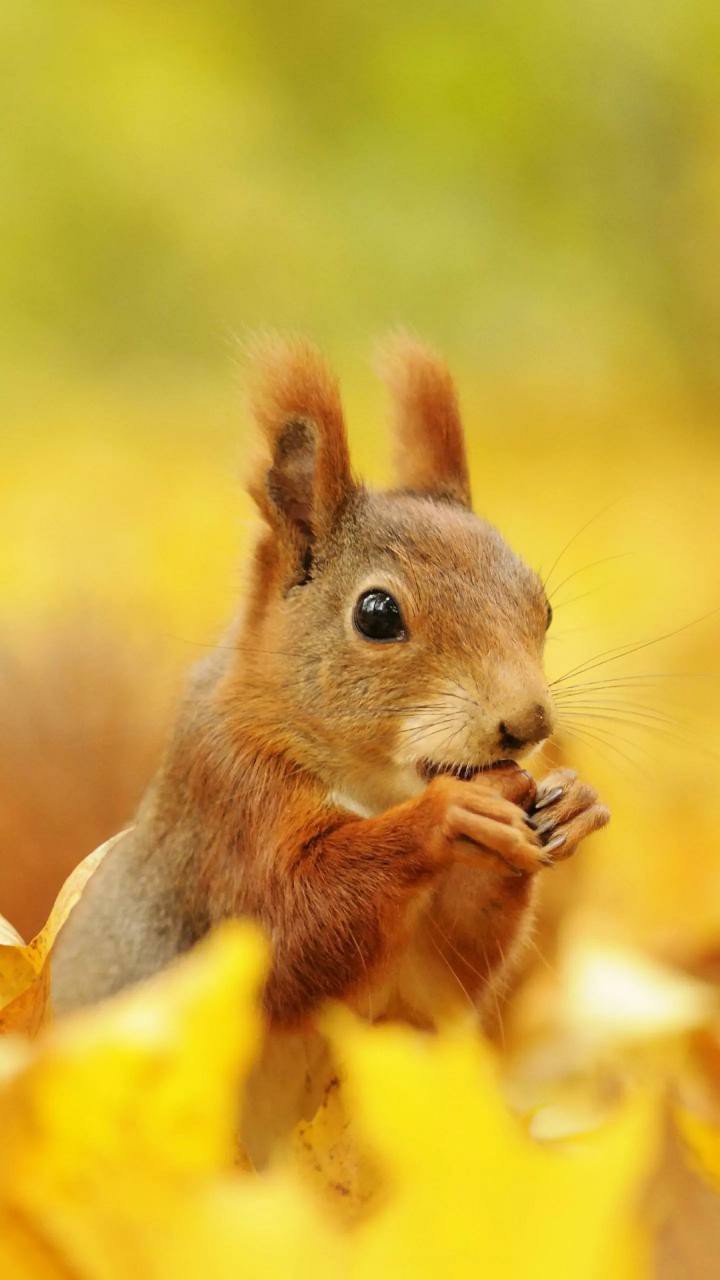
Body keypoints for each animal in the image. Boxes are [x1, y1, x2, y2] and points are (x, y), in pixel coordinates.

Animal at [52, 335, 610, 1049]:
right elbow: (287, 932)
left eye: (544, 608)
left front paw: (573, 802)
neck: (370, 794)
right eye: (376, 615)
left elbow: (443, 977)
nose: (529, 722)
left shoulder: (417, 990)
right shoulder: (225, 803)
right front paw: (450, 812)